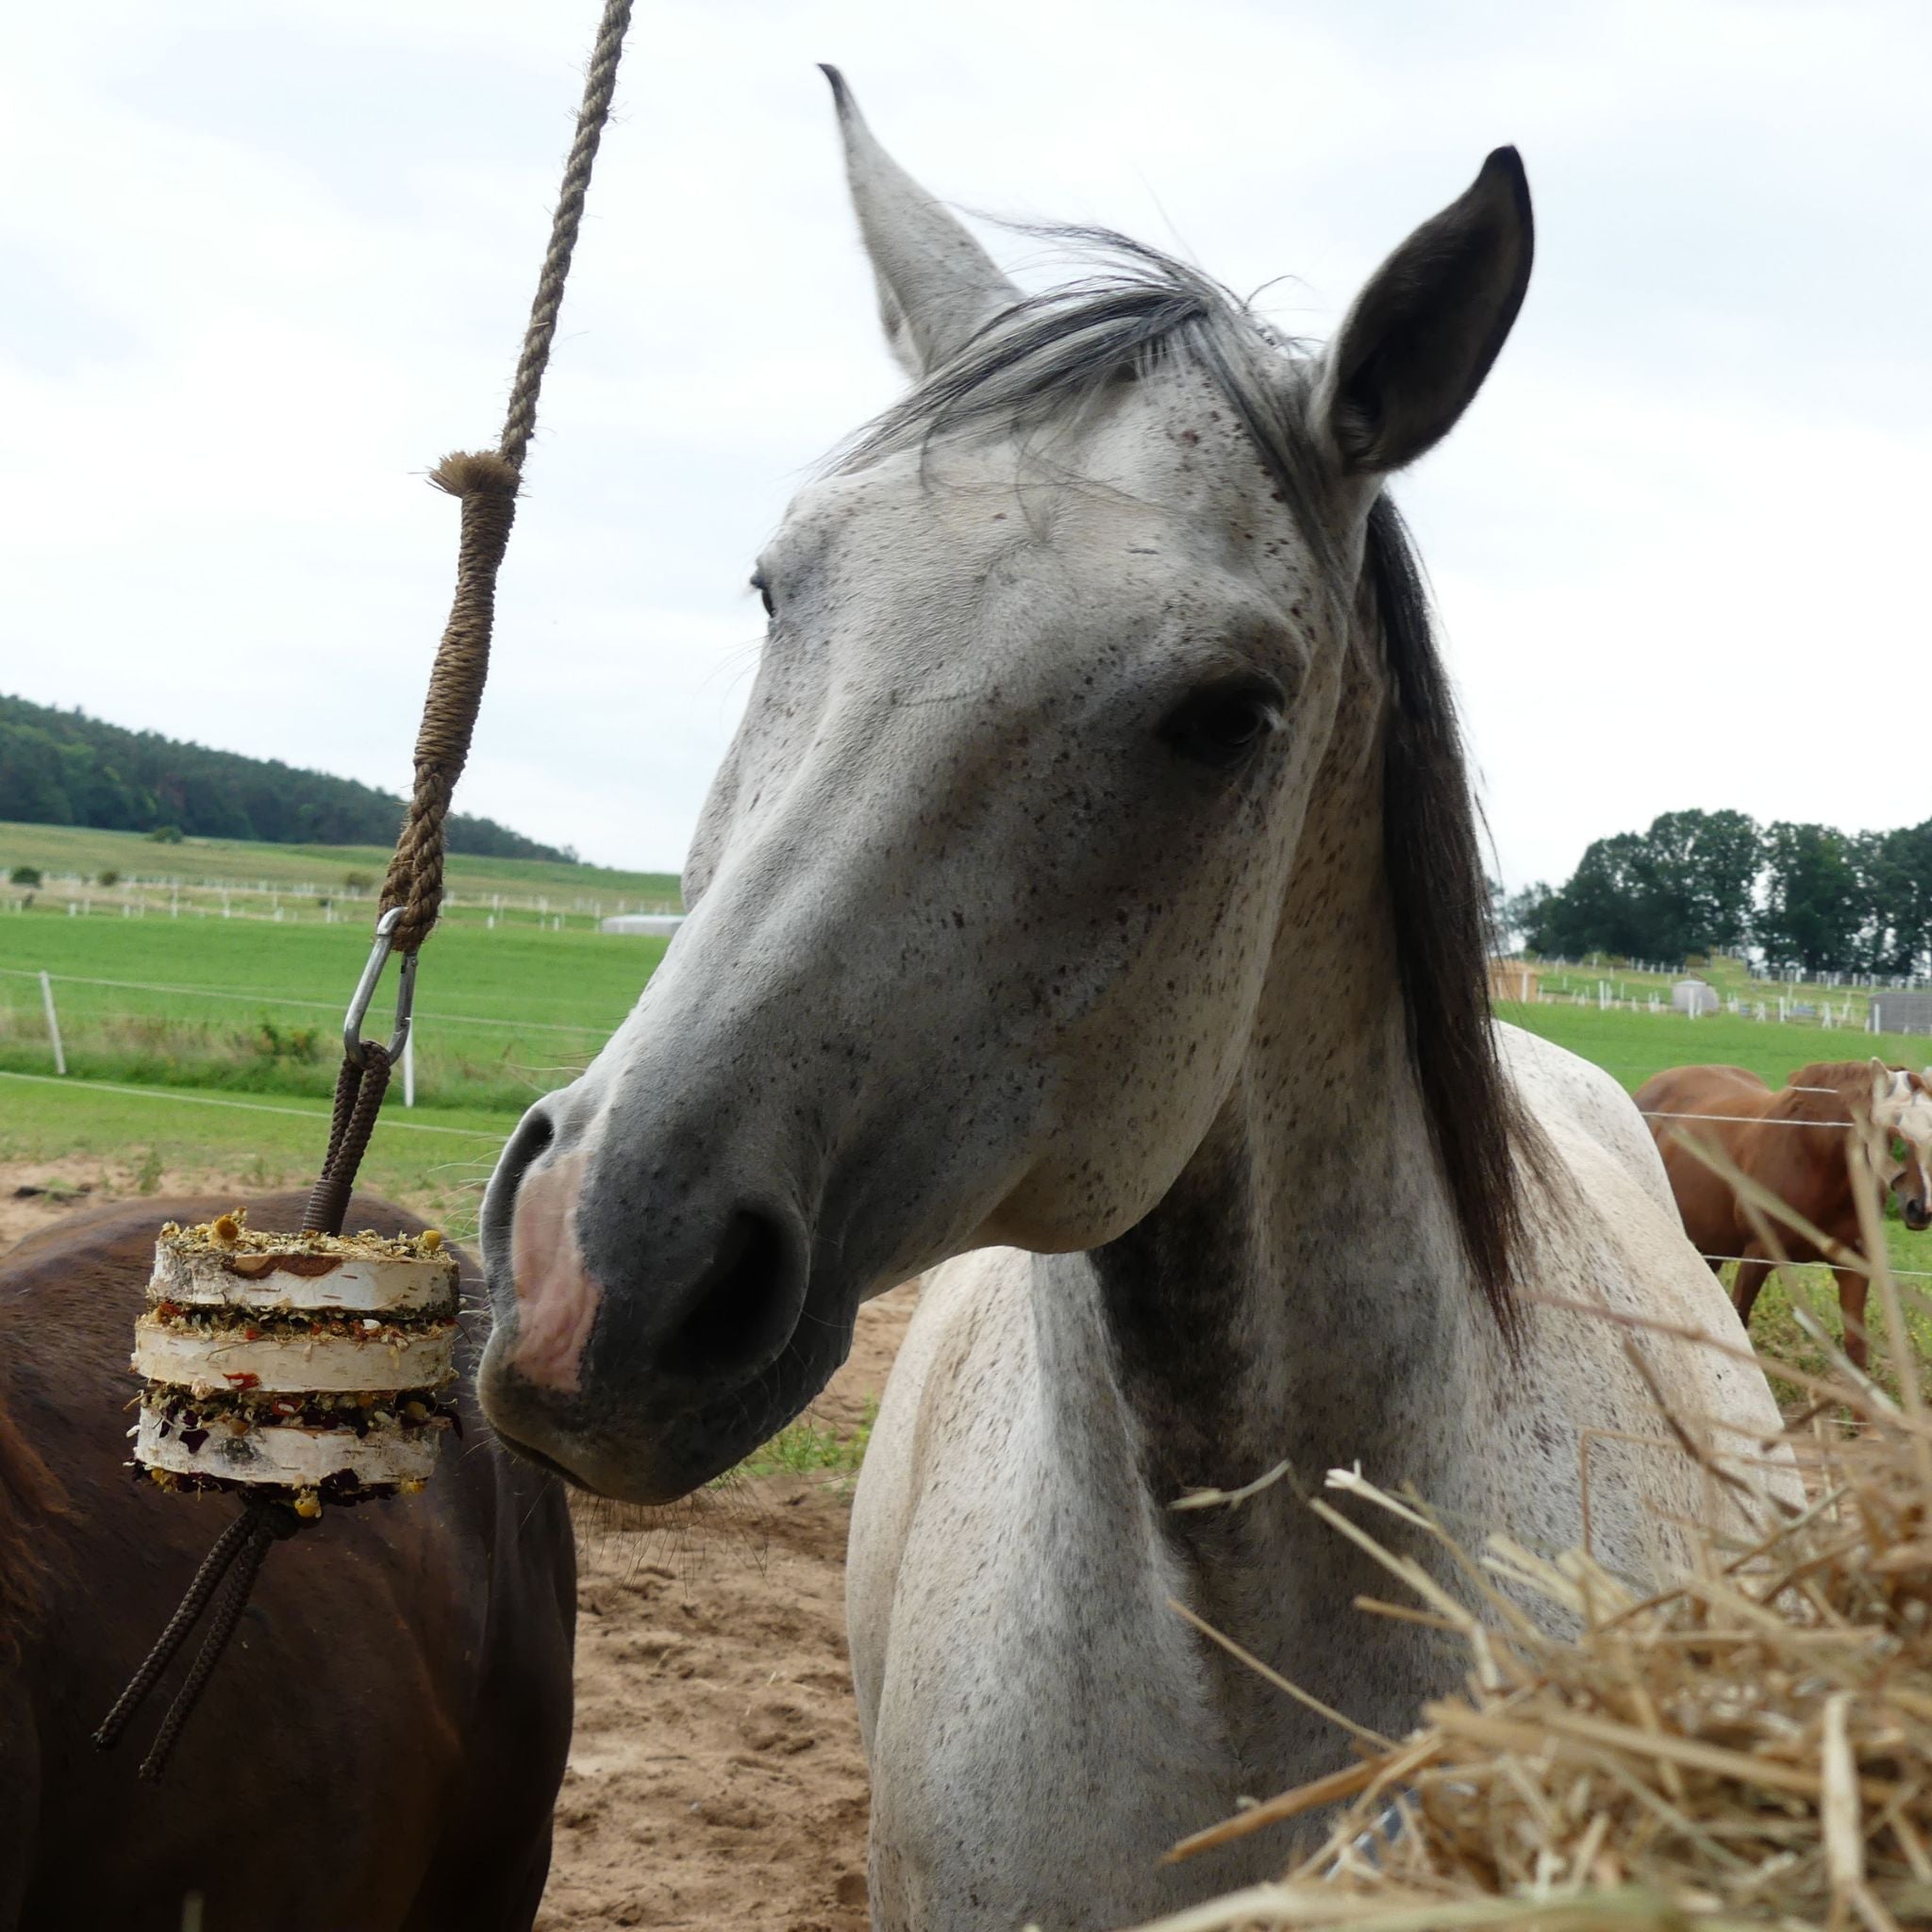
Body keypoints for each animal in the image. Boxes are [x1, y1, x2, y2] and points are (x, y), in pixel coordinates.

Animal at [1630, 1058, 1932, 1375]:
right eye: (1896, 1127)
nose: (1921, 1207)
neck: (1815, 1155)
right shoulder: (1758, 1255)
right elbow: (1740, 1317)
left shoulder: (1853, 1265)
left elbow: (1856, 1350)